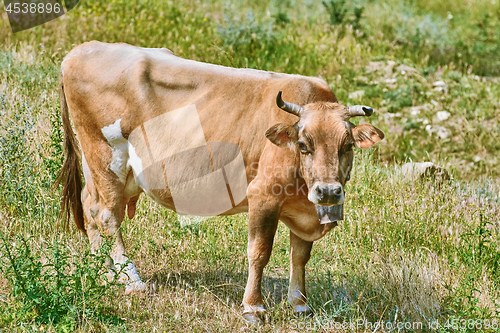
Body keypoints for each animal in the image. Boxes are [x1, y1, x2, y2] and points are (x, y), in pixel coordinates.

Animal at [55, 40, 382, 322]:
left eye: (347, 146)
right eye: (303, 145)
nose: (328, 191)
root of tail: (83, 49)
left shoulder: (306, 208)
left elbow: (300, 256)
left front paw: (300, 304)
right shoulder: (263, 196)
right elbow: (259, 253)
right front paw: (253, 308)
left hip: (103, 167)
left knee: (91, 208)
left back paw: (106, 274)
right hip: (105, 156)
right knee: (108, 216)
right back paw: (132, 280)